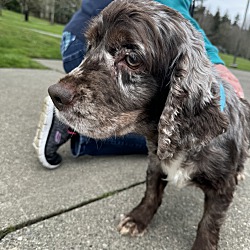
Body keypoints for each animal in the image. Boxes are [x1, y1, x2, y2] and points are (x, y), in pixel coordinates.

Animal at [47, 0, 250, 249]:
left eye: (132, 59)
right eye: (90, 46)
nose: (55, 95)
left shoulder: (222, 188)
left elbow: (210, 221)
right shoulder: (155, 163)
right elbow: (151, 193)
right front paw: (137, 219)